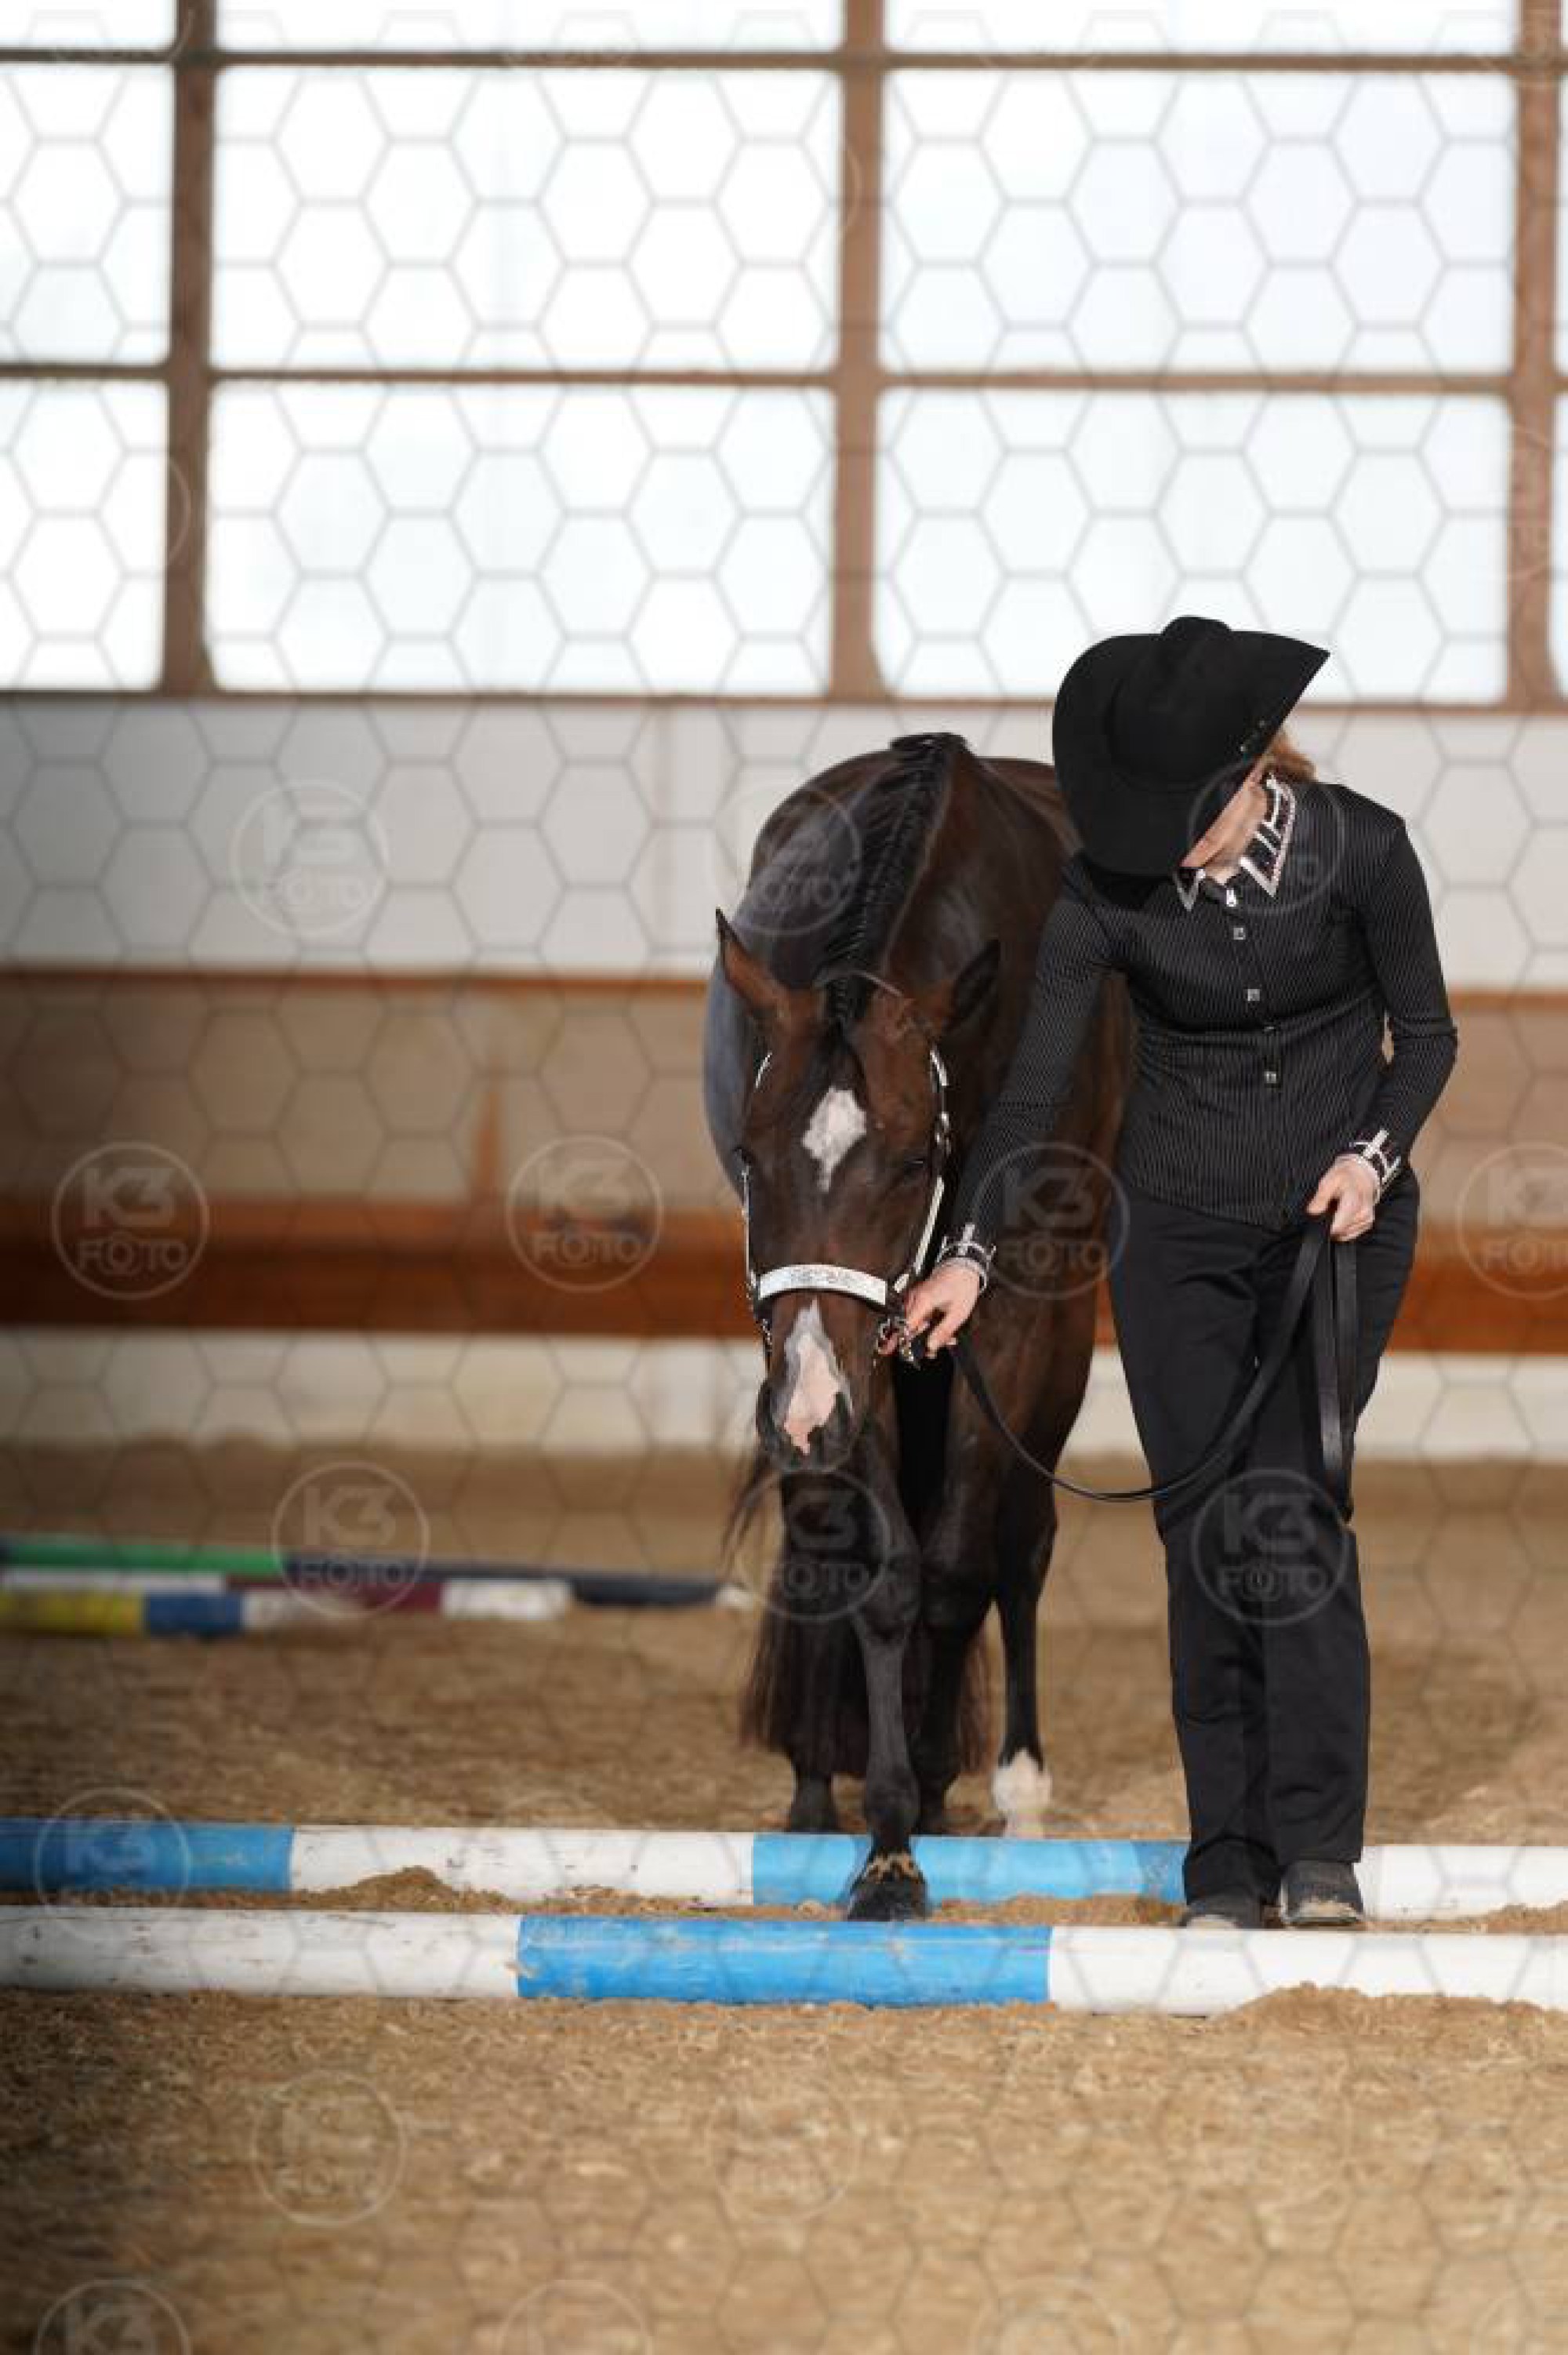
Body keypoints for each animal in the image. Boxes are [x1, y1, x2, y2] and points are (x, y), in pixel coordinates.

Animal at [702, 730, 1132, 1920]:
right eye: (751, 1153)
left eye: (905, 1163)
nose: (807, 1404)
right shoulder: (848, 1347)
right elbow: (881, 1572)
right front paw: (885, 1837)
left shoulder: (1010, 1318)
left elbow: (953, 1572)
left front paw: (930, 1796)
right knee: (826, 1530)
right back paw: (817, 1782)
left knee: (1020, 1542)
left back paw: (1016, 1786)